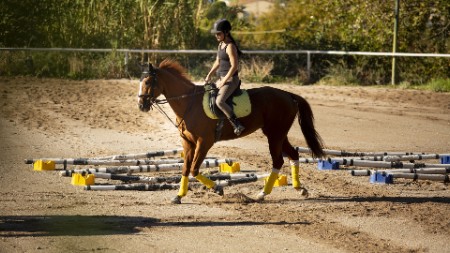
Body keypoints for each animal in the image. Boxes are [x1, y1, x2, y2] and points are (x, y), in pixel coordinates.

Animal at [137, 59, 324, 204]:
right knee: (293, 155)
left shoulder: (204, 142)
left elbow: (194, 170)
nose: (141, 106)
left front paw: (218, 189)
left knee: (278, 161)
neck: (188, 103)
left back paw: (263, 194)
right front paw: (178, 196)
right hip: (278, 134)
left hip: (275, 135)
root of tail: (288, 95)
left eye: (147, 82)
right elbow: (185, 169)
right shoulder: (188, 142)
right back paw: (300, 189)